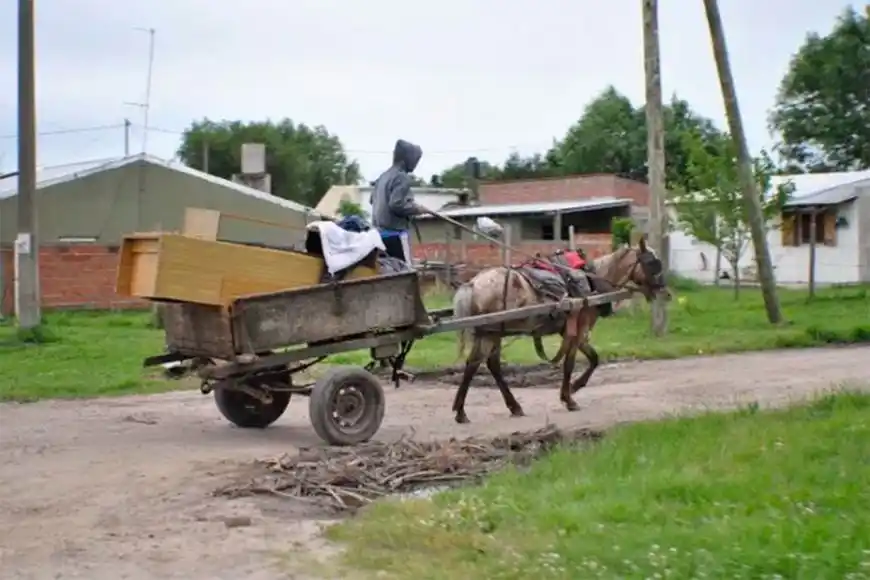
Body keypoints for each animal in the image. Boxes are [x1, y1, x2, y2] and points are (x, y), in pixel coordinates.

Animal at [450, 239, 669, 424]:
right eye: (652, 263)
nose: (666, 292)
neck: (590, 283)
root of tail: (473, 283)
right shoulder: (578, 330)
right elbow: (570, 364)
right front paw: (569, 397)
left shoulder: (574, 333)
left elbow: (594, 358)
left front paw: (574, 388)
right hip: (491, 333)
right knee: (476, 364)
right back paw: (462, 411)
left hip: (491, 332)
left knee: (486, 364)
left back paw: (511, 406)